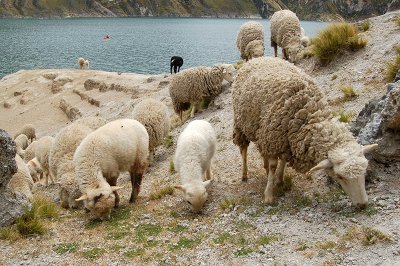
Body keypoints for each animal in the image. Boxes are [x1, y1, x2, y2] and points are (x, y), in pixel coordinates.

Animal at [233, 57, 376, 208]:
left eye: (365, 170)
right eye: (339, 176)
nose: (362, 204)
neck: (308, 113)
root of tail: (258, 58)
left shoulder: (284, 139)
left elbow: (283, 160)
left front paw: (279, 180)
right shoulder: (274, 138)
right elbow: (273, 166)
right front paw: (269, 195)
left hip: (261, 129)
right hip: (241, 123)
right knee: (243, 149)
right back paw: (244, 174)